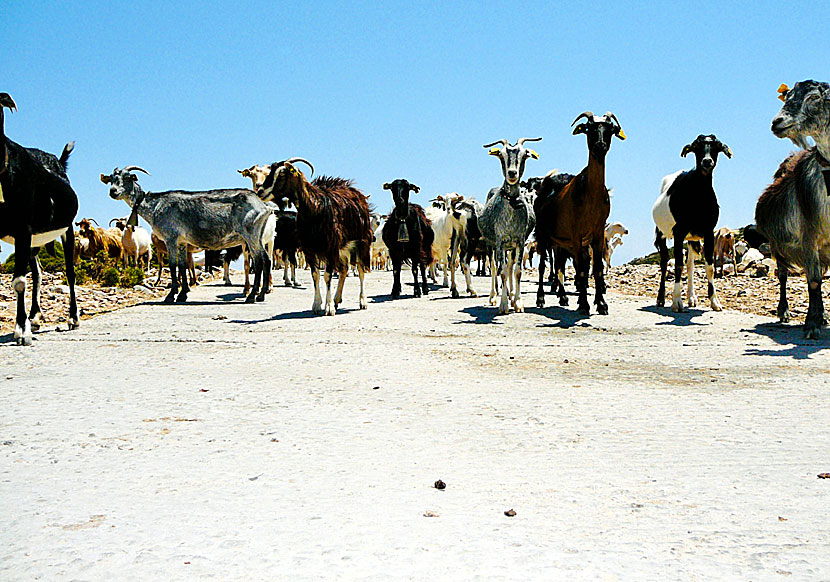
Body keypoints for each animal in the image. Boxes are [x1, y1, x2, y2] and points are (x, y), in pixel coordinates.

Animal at [102, 167, 278, 306]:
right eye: (111, 178)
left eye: (127, 178)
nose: (113, 191)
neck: (155, 206)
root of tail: (265, 207)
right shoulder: (181, 242)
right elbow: (182, 265)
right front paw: (182, 294)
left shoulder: (171, 238)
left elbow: (173, 265)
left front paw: (170, 296)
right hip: (257, 235)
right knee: (266, 259)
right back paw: (260, 295)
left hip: (251, 234)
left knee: (260, 260)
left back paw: (252, 296)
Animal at [478, 137, 544, 314]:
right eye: (501, 155)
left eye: (525, 154)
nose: (512, 173)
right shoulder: (500, 241)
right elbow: (501, 272)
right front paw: (503, 304)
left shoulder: (519, 241)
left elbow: (517, 271)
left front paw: (517, 302)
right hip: (491, 245)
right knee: (495, 267)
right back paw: (493, 296)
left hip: (511, 247)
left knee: (509, 266)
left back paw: (512, 294)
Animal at [652, 135, 732, 314]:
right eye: (696, 147)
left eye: (716, 146)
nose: (707, 161)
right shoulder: (678, 232)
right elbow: (678, 265)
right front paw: (676, 302)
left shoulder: (708, 232)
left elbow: (709, 267)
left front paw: (714, 301)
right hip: (661, 233)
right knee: (664, 262)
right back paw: (661, 299)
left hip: (691, 238)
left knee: (690, 264)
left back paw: (691, 297)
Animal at [756, 80, 830, 340]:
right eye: (787, 96)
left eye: (814, 97)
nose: (777, 122)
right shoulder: (809, 236)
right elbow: (814, 282)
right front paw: (811, 324)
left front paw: (818, 319)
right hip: (778, 247)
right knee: (784, 275)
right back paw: (784, 312)